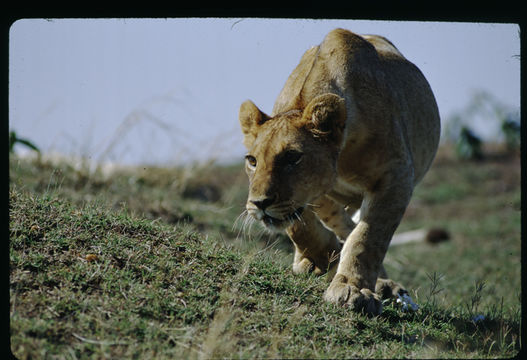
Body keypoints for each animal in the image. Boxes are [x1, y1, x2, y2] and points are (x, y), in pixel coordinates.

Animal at [239, 29, 442, 314]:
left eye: (292, 157)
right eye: (252, 161)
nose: (258, 203)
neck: (340, 159)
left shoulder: (397, 177)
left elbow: (367, 237)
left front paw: (353, 290)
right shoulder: (313, 195)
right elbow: (303, 227)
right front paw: (326, 258)